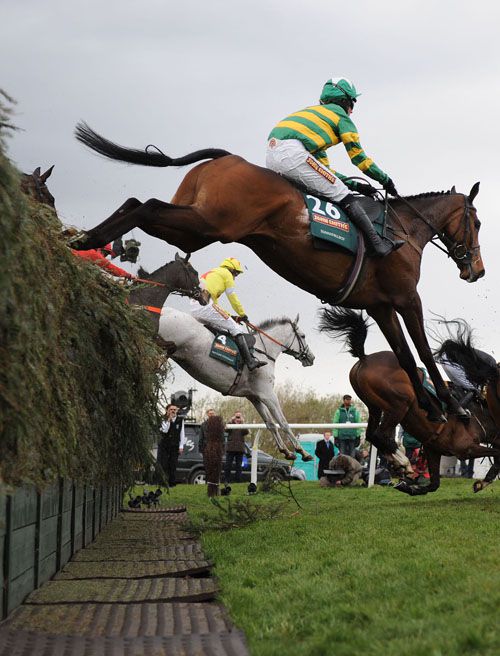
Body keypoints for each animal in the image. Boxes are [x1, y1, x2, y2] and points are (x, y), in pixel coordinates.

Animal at [70, 123, 484, 420]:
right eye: (477, 222)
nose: (476, 270)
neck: (404, 230)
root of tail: (228, 157)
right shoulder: (406, 298)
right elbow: (424, 352)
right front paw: (453, 406)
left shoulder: (380, 305)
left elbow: (405, 355)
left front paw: (431, 406)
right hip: (209, 224)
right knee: (146, 205)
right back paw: (90, 242)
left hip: (194, 227)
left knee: (137, 203)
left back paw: (83, 240)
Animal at [318, 308, 498, 498]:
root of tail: (364, 358)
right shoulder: (466, 448)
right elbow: (498, 454)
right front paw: (483, 482)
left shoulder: (434, 449)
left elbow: (433, 484)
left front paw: (410, 487)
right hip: (400, 403)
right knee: (380, 434)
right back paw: (404, 464)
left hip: (374, 406)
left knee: (371, 434)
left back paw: (400, 465)